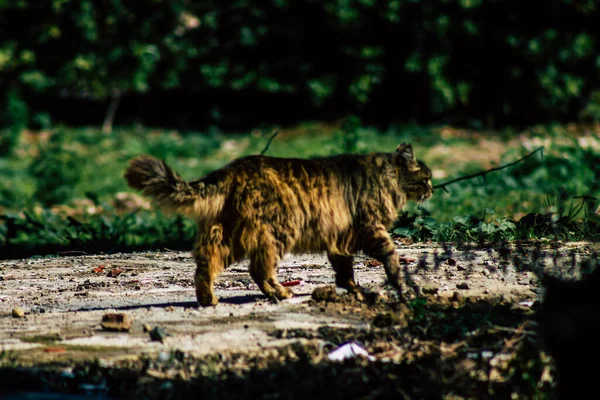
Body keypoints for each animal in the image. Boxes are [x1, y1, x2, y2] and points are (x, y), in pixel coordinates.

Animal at [124, 144, 432, 306]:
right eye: (426, 177)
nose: (432, 189)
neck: (386, 177)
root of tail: (231, 170)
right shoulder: (371, 228)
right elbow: (392, 258)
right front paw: (401, 287)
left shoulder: (340, 238)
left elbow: (345, 271)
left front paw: (355, 290)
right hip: (277, 231)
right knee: (259, 268)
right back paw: (280, 292)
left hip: (227, 236)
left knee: (205, 263)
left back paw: (208, 298)